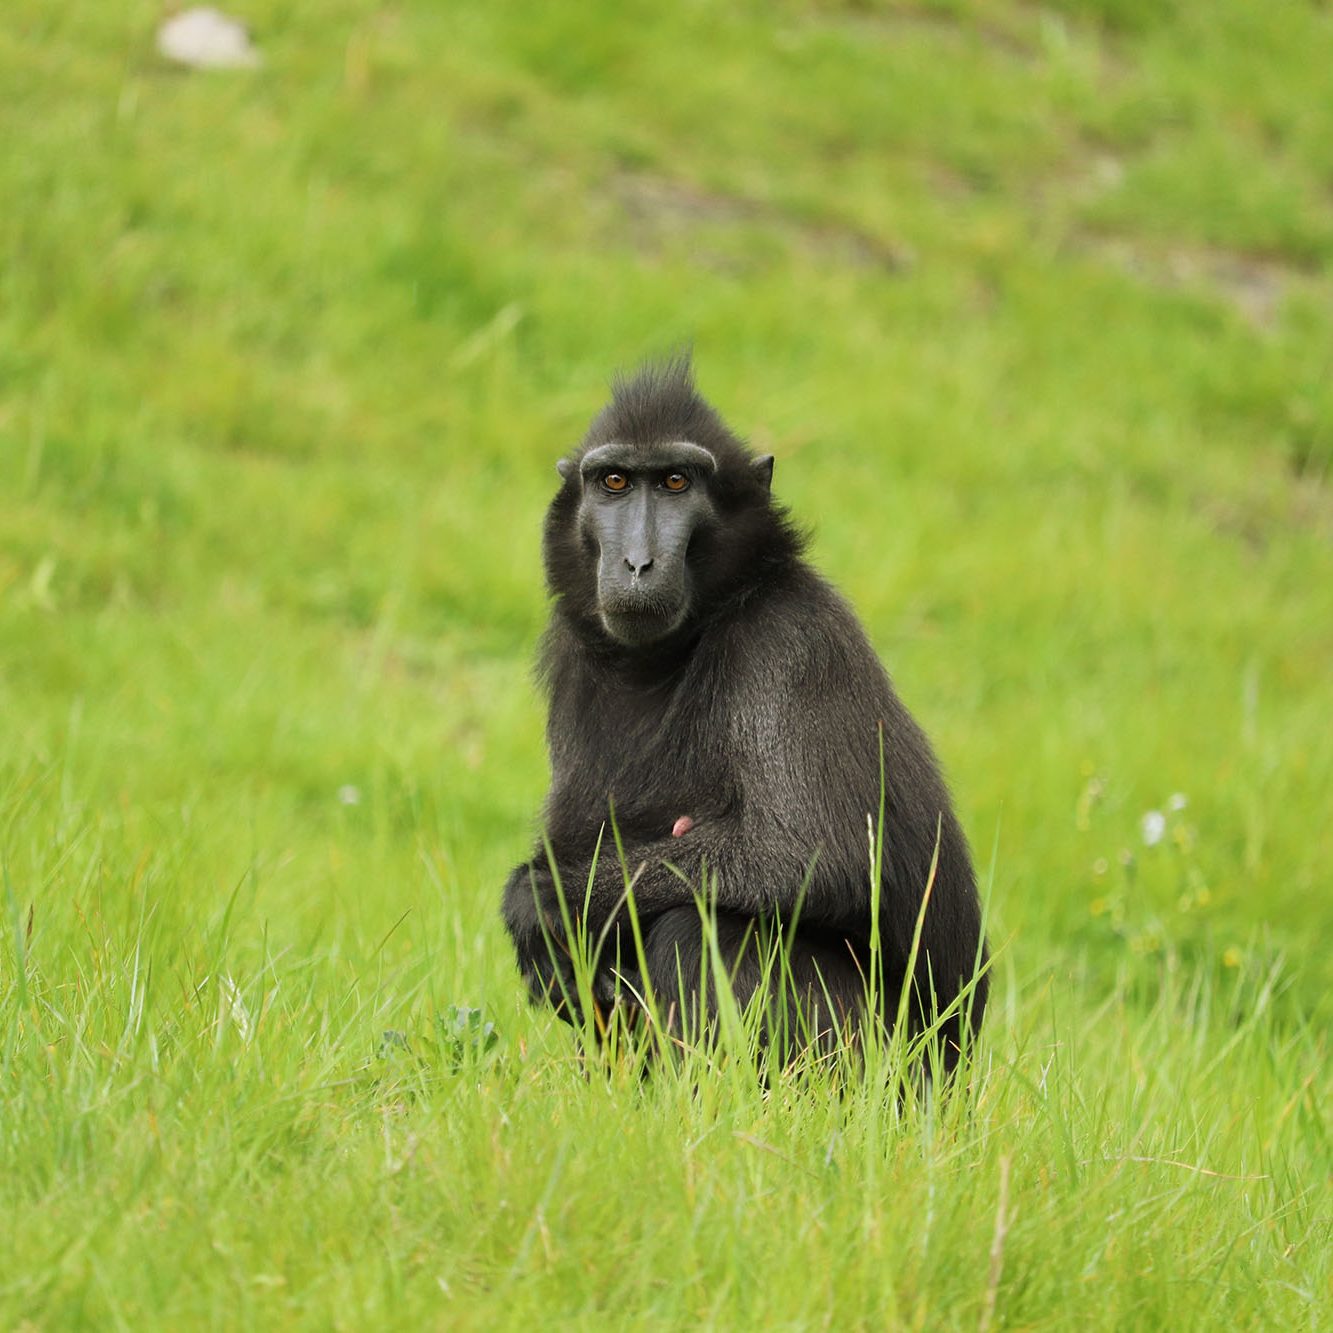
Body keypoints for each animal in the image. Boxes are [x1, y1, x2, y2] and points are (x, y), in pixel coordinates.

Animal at [503, 359, 986, 1066]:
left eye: (676, 482)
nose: (638, 564)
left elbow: (816, 854)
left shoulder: (787, 643)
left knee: (699, 924)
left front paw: (546, 900)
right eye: (614, 482)